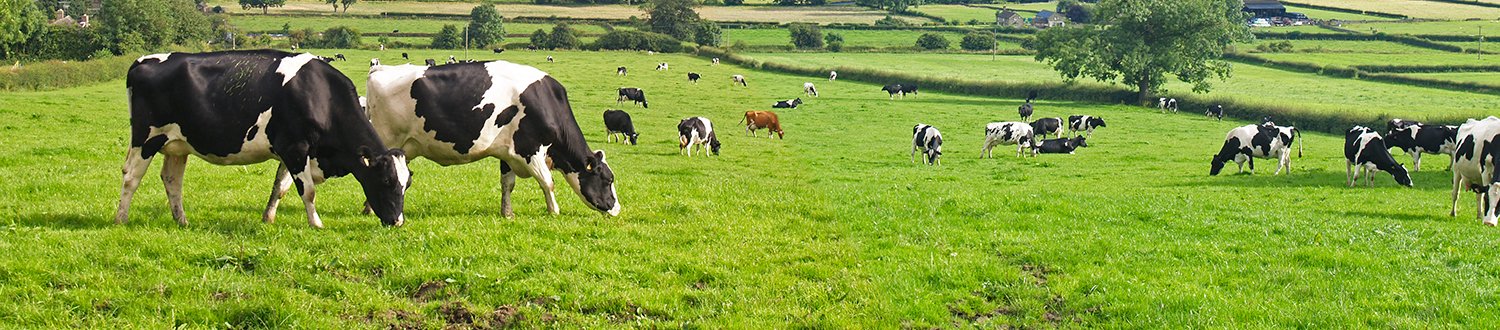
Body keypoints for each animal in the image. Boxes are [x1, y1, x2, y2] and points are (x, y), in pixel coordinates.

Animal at [118, 50, 411, 228]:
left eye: (406, 184)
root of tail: (142, 61)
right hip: (146, 138)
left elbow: (280, 187)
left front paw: (268, 218)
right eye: (386, 181)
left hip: (177, 145)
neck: (319, 94)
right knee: (131, 177)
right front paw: (316, 223)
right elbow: (308, 190)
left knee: (172, 180)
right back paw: (121, 218)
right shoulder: (294, 147)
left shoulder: (291, 150)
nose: (397, 221)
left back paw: (182, 221)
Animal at [369, 60, 621, 217]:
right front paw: (554, 211)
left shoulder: (507, 152)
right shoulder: (531, 148)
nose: (616, 208)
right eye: (607, 179)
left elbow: (508, 184)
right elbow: (547, 181)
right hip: (387, 140)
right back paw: (371, 210)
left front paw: (507, 213)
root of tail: (379, 70)